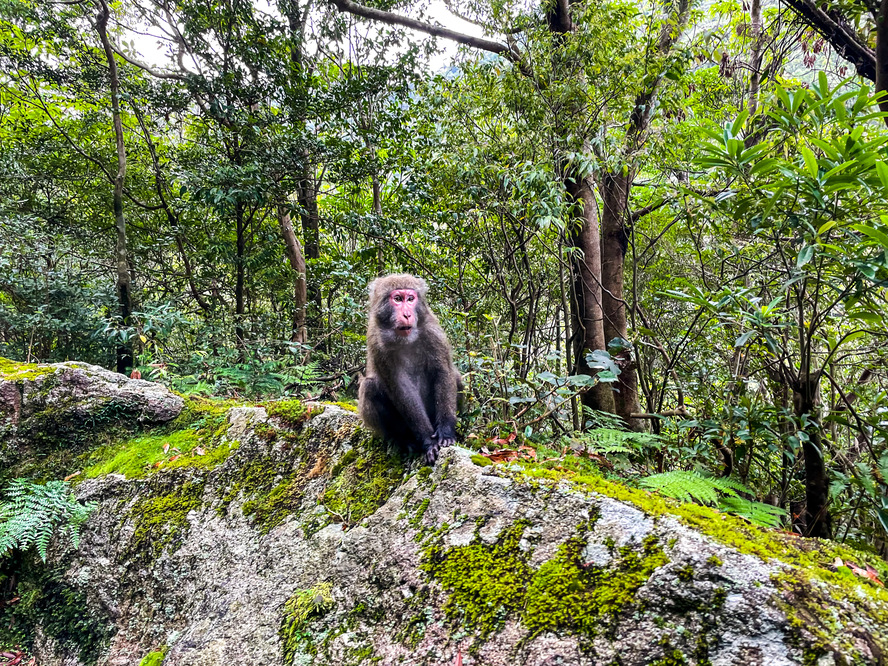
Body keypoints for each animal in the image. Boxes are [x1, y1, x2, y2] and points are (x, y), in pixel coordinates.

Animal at [358, 272, 462, 464]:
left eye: (411, 299)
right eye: (398, 299)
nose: (407, 314)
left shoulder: (432, 330)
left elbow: (443, 372)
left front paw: (446, 432)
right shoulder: (377, 342)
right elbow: (401, 388)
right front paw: (428, 441)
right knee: (369, 387)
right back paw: (403, 439)